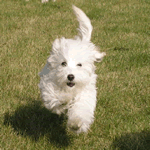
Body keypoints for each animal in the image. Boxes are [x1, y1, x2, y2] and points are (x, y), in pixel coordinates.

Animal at [39, 5, 106, 134]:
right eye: (63, 63)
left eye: (79, 65)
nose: (70, 76)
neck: (70, 89)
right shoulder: (48, 86)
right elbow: (55, 96)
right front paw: (65, 98)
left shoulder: (85, 93)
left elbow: (81, 109)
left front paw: (76, 124)